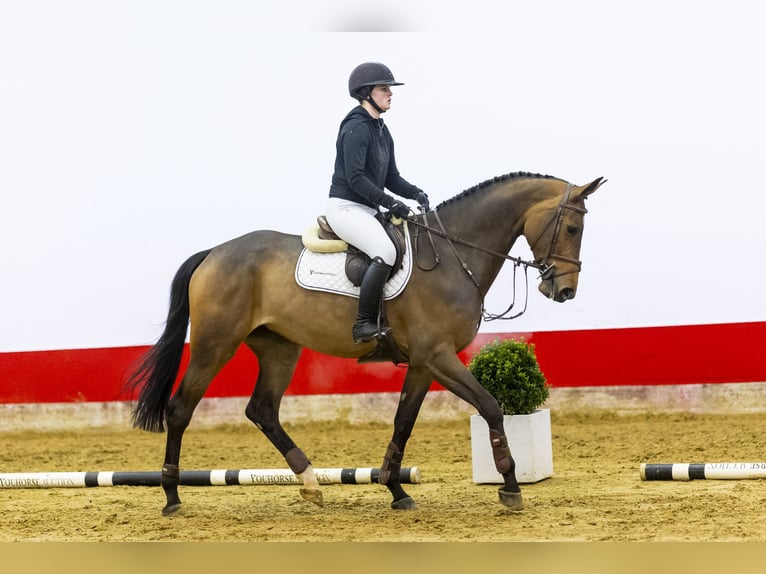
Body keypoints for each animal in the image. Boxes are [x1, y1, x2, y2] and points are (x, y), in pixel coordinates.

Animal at [129, 171, 608, 516]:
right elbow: (491, 406)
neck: (454, 257)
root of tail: (213, 253)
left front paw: (396, 488)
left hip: (280, 348)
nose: (564, 291)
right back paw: (172, 497)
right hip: (215, 345)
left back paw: (310, 485)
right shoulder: (439, 356)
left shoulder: (424, 363)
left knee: (262, 410)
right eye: (571, 227)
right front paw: (509, 486)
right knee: (181, 409)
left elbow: (403, 422)